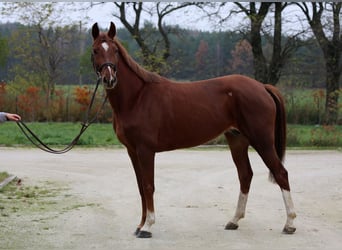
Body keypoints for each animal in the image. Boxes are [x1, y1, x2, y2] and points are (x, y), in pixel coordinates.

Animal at [91, 22, 296, 238]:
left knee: (281, 173)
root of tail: (262, 87)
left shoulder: (145, 150)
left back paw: (289, 224)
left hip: (262, 141)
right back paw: (234, 220)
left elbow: (148, 186)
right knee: (245, 175)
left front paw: (148, 227)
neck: (137, 98)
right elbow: (140, 187)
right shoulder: (132, 151)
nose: (109, 79)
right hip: (237, 140)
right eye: (95, 50)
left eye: (115, 50)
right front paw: (140, 225)